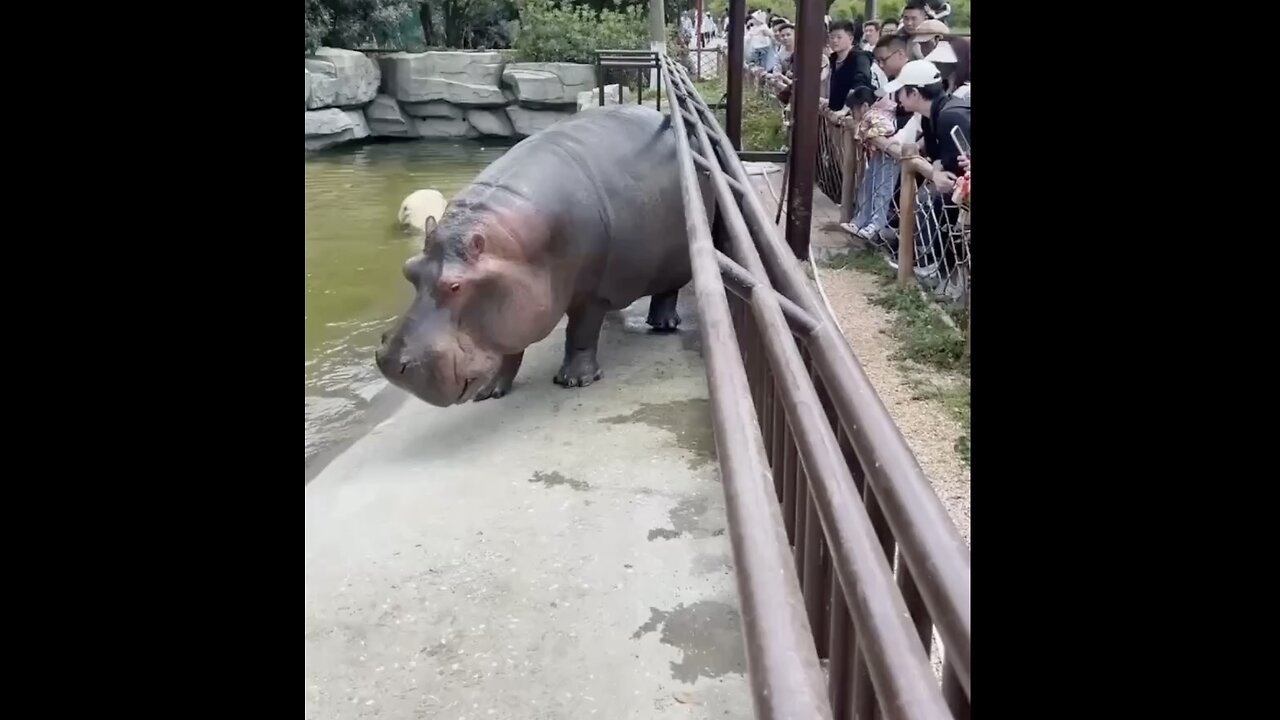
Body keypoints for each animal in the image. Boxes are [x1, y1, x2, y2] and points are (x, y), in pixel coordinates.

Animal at [375, 105, 700, 407]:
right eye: (409, 269)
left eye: (455, 286)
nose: (390, 362)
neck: (513, 248)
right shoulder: (511, 305)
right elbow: (509, 350)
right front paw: (490, 391)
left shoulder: (591, 292)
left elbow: (580, 333)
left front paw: (574, 381)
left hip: (677, 262)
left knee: (667, 292)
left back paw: (663, 325)